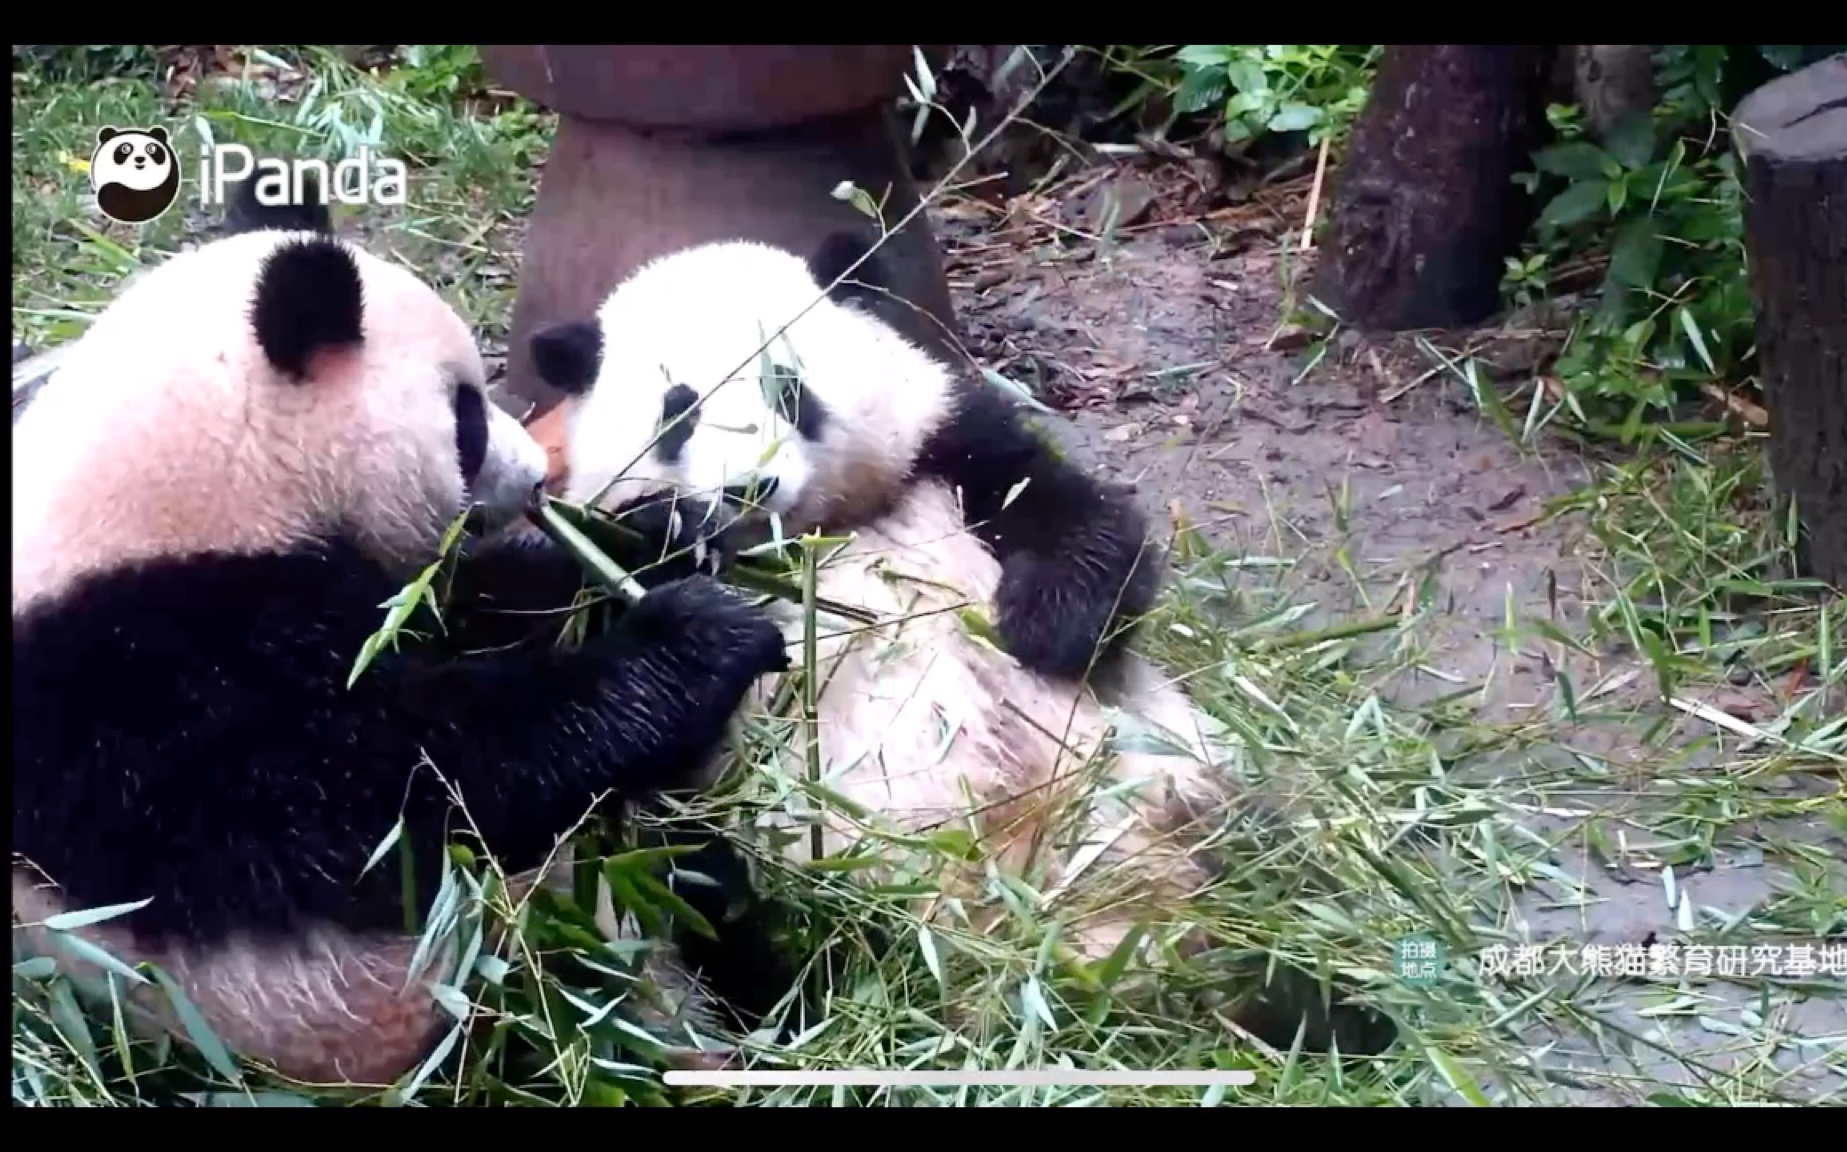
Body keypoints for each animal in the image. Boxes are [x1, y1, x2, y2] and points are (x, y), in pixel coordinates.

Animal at [7, 175, 801, 1085]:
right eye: (467, 416)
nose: (537, 474)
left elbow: (466, 609)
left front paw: (661, 541)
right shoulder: (142, 688)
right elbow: (399, 795)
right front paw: (695, 640)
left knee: (698, 883)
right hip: (457, 999)